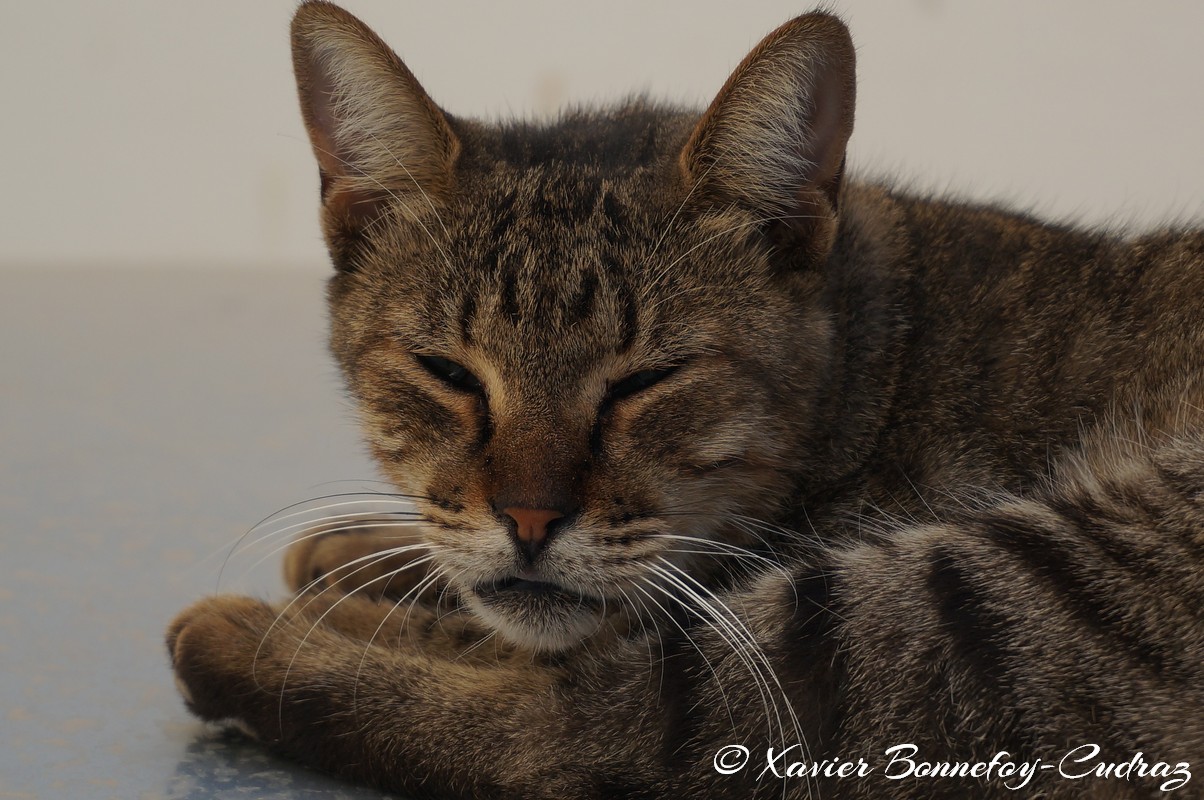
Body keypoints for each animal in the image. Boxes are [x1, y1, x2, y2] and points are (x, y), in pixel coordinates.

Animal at [162, 3, 1204, 795]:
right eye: (447, 372)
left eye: (645, 380)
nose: (528, 519)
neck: (880, 360)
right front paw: (370, 551)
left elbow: (560, 652)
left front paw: (358, 591)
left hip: (994, 602)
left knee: (577, 731)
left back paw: (255, 639)